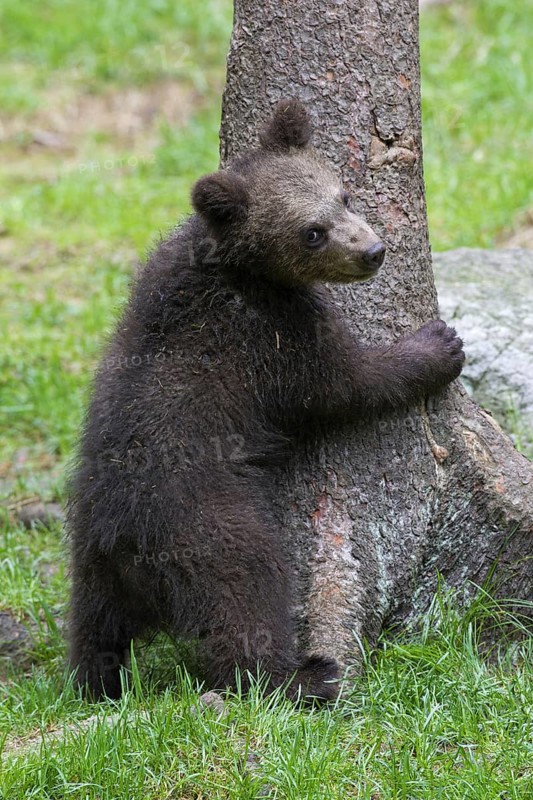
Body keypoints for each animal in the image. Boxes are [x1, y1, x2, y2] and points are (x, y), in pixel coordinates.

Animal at [67, 98, 464, 703]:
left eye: (344, 195)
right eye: (312, 232)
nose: (373, 251)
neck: (240, 267)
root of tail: (124, 542)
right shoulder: (272, 337)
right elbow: (344, 384)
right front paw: (437, 345)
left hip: (88, 556)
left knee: (93, 630)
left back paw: (96, 680)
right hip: (209, 526)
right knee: (246, 598)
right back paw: (304, 675)